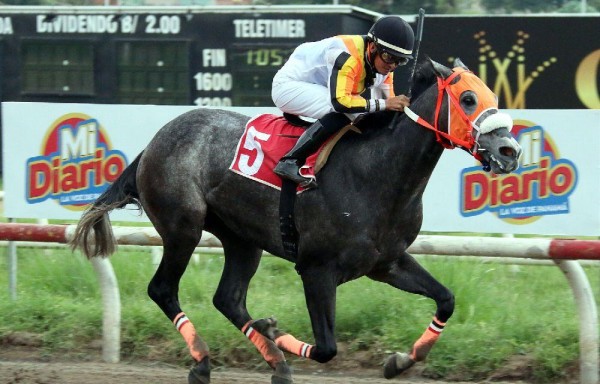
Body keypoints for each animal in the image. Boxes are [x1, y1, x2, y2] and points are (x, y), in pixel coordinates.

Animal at [70, 58, 520, 382]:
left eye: (490, 94)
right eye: (467, 98)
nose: (510, 150)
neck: (377, 172)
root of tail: (152, 143)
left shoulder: (386, 263)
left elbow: (446, 299)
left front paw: (402, 360)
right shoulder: (316, 269)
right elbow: (326, 348)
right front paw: (272, 329)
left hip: (241, 239)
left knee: (228, 298)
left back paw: (276, 364)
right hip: (184, 227)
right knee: (163, 289)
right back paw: (203, 361)